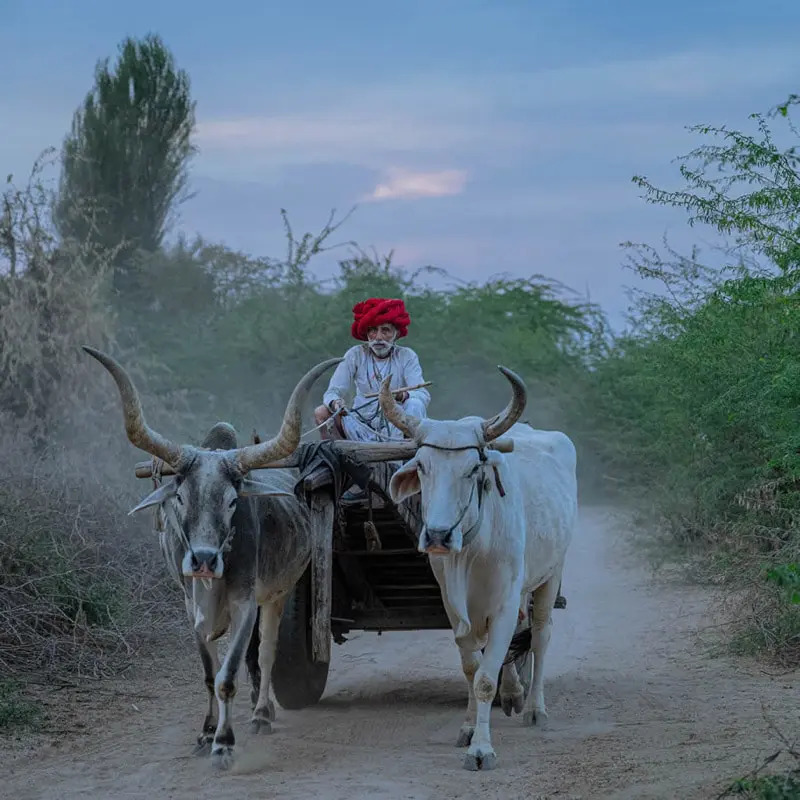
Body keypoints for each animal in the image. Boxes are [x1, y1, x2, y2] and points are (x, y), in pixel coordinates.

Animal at [82, 346, 345, 769]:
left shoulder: (245, 604)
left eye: (233, 501)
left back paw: (262, 713)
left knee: (266, 653)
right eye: (179, 497)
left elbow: (228, 676)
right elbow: (208, 674)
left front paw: (223, 743)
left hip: (277, 595)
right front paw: (205, 733)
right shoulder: (191, 608)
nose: (203, 560)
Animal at [377, 366, 577, 771]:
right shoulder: (454, 608)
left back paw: (534, 708)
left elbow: (486, 677)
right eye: (422, 466)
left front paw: (482, 750)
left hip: (550, 574)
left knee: (540, 635)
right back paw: (514, 693)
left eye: (473, 469)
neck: (471, 551)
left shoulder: (502, 604)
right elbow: (472, 669)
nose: (438, 534)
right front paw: (469, 729)